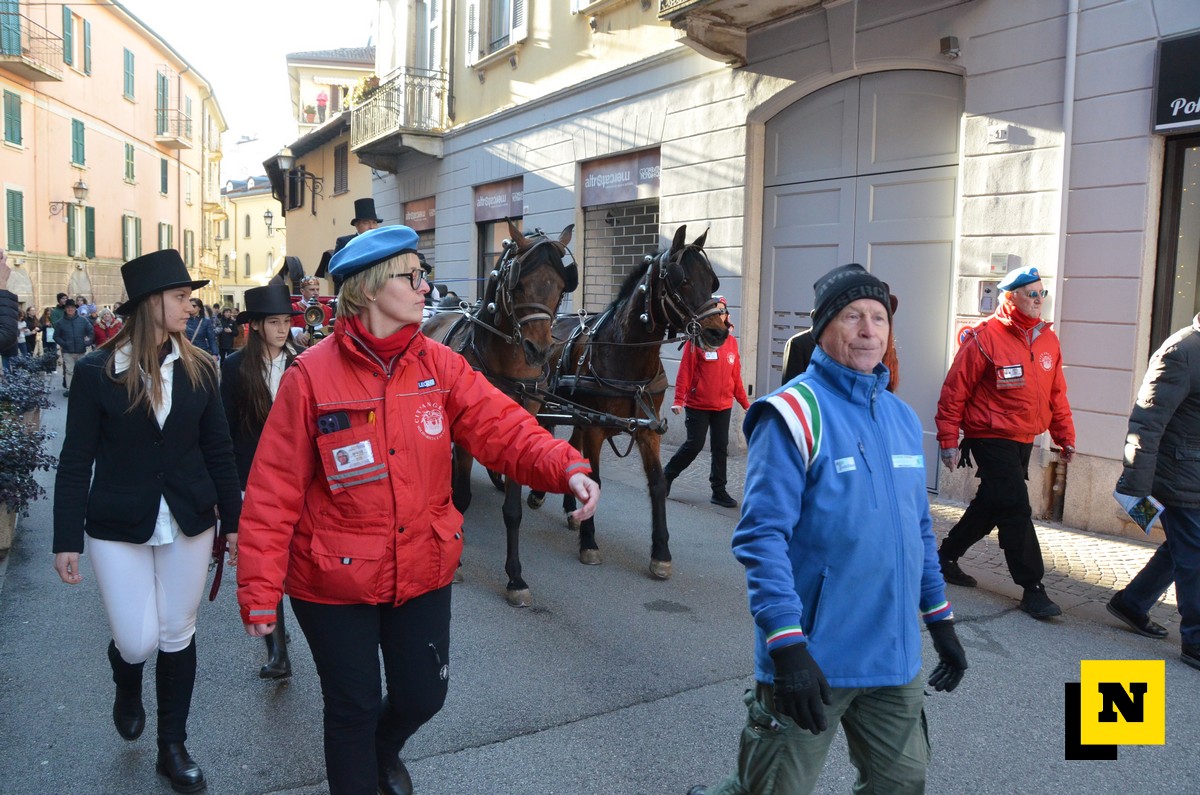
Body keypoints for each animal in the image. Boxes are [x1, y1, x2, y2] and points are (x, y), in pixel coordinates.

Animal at [421, 219, 577, 607]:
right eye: (517, 284)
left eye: (560, 286)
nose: (538, 350)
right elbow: (461, 498)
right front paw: (456, 562)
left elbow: (513, 511)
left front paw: (515, 577)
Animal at [529, 225, 727, 580]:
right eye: (681, 280)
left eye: (712, 281)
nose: (718, 332)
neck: (626, 355)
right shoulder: (595, 427)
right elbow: (594, 478)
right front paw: (589, 543)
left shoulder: (648, 428)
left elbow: (658, 483)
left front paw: (661, 553)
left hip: (577, 415)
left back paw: (569, 506)